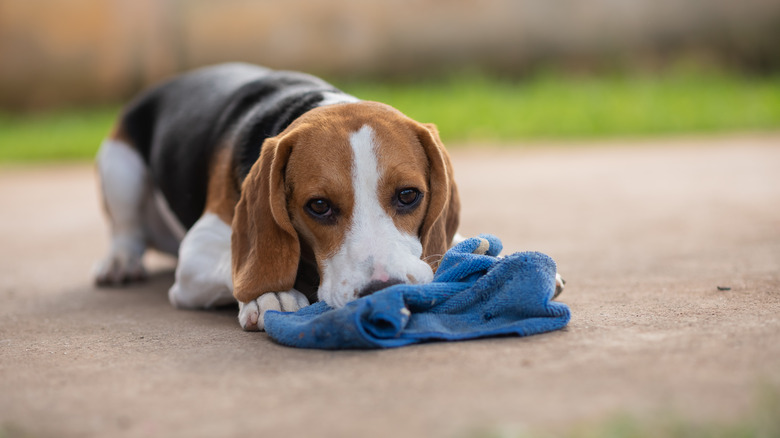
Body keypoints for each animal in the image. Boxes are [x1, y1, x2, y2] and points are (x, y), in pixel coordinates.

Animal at [96, 63, 464, 330]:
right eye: (319, 206)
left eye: (408, 195)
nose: (382, 291)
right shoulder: (196, 252)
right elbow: (233, 264)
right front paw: (269, 293)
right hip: (120, 166)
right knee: (126, 230)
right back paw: (119, 262)